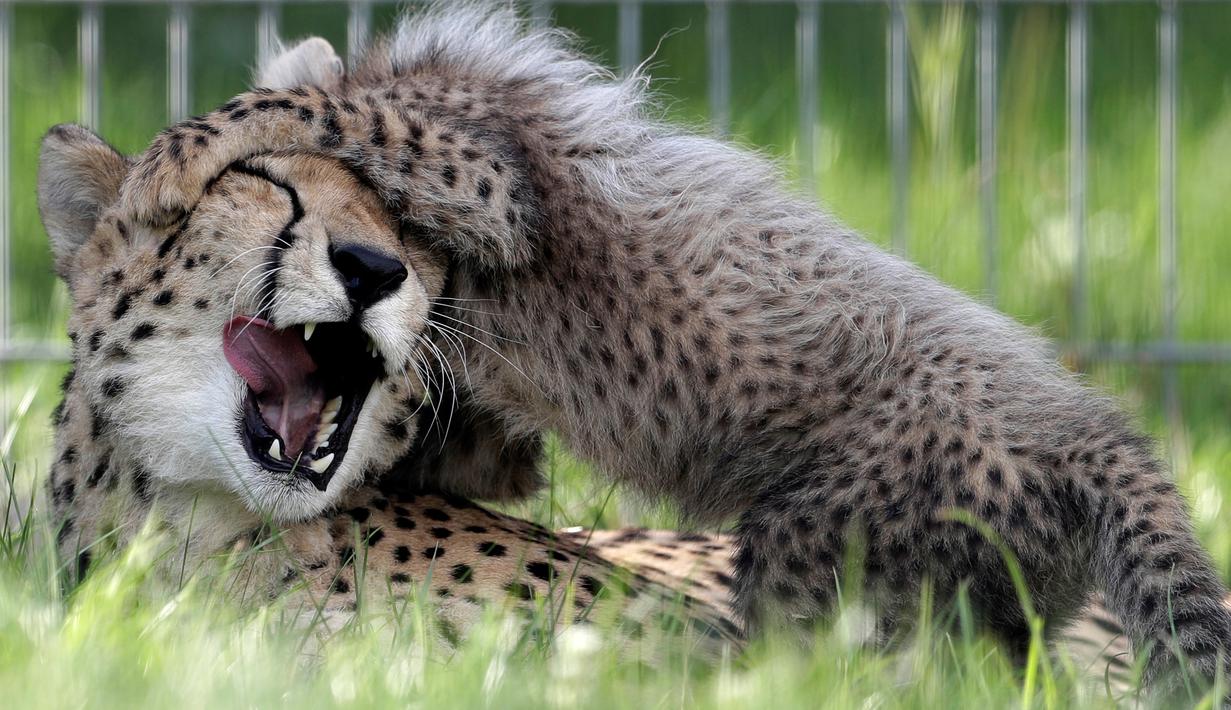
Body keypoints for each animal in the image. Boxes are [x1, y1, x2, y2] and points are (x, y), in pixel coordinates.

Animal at [50, 0, 1231, 694]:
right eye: (276, 200)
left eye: (397, 233)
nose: (376, 270)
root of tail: (1093, 431)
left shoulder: (485, 165)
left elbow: (294, 105)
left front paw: (176, 156)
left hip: (825, 548)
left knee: (800, 664)